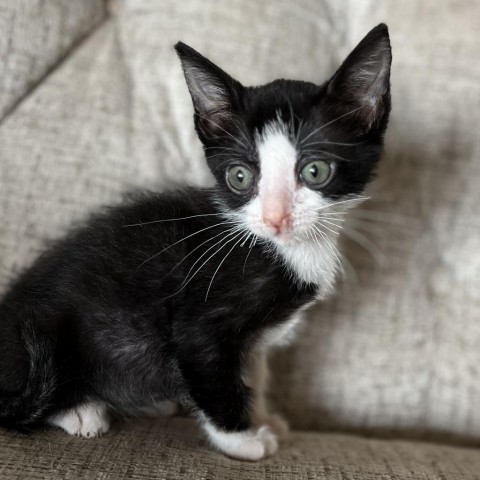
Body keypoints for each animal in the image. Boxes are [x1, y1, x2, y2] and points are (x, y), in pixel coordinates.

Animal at [0, 24, 390, 460]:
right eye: (240, 176)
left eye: (315, 170)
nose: (276, 218)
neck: (284, 249)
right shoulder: (200, 321)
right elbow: (215, 378)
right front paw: (241, 438)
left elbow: (252, 370)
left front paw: (262, 417)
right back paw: (82, 410)